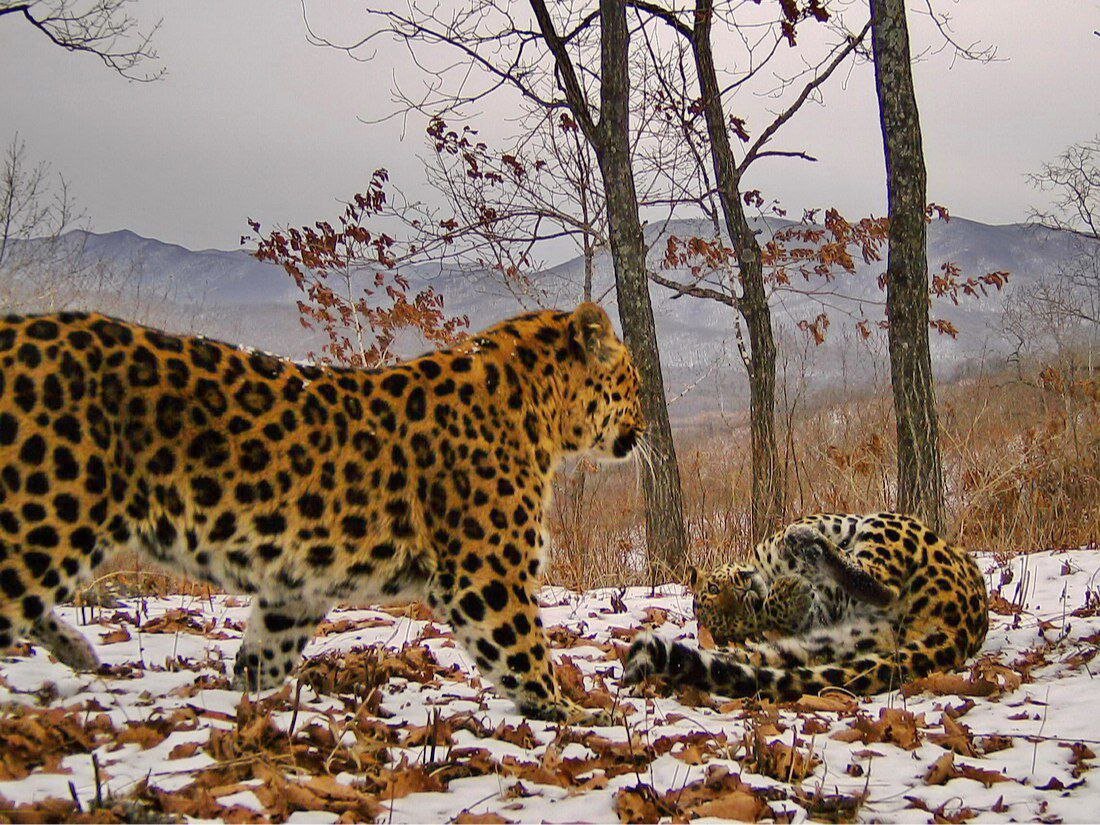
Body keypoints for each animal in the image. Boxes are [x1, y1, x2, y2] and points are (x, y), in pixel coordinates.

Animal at [0, 301, 642, 721]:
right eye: (633, 380)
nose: (643, 427)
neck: (541, 413)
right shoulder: (487, 575)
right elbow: (524, 652)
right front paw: (578, 713)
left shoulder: (297, 583)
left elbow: (268, 651)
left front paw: (246, 695)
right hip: (45, 517)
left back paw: (77, 651)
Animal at [624, 514, 994, 699]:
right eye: (740, 620)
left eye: (715, 588)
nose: (746, 596)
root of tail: (964, 627)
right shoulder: (828, 609)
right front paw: (790, 590)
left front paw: (790, 565)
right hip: (840, 638)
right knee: (881, 586)